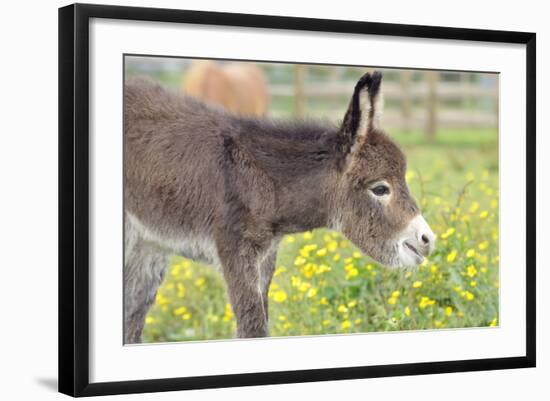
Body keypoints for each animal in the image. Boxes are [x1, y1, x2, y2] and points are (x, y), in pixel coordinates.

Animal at [124, 71, 436, 340]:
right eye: (380, 189)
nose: (428, 240)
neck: (258, 179)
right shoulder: (235, 251)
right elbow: (253, 325)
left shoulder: (265, 256)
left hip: (146, 246)